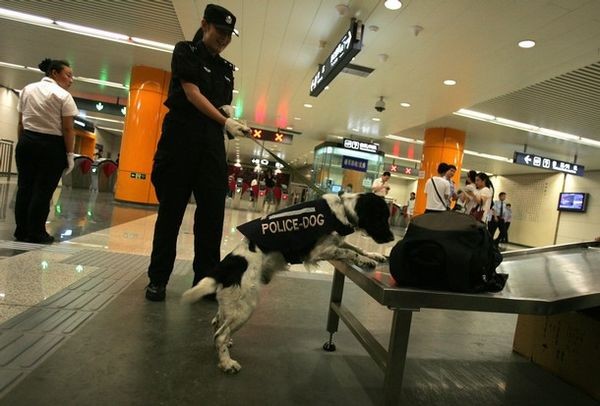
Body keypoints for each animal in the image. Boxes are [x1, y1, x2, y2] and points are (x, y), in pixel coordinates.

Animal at [182, 193, 394, 374]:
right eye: (381, 217)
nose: (392, 238)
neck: (341, 209)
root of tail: (228, 265)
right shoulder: (319, 251)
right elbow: (350, 251)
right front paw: (364, 260)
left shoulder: (337, 243)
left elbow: (355, 246)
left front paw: (374, 256)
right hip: (245, 306)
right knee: (220, 334)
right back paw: (227, 363)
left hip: (231, 304)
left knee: (217, 324)